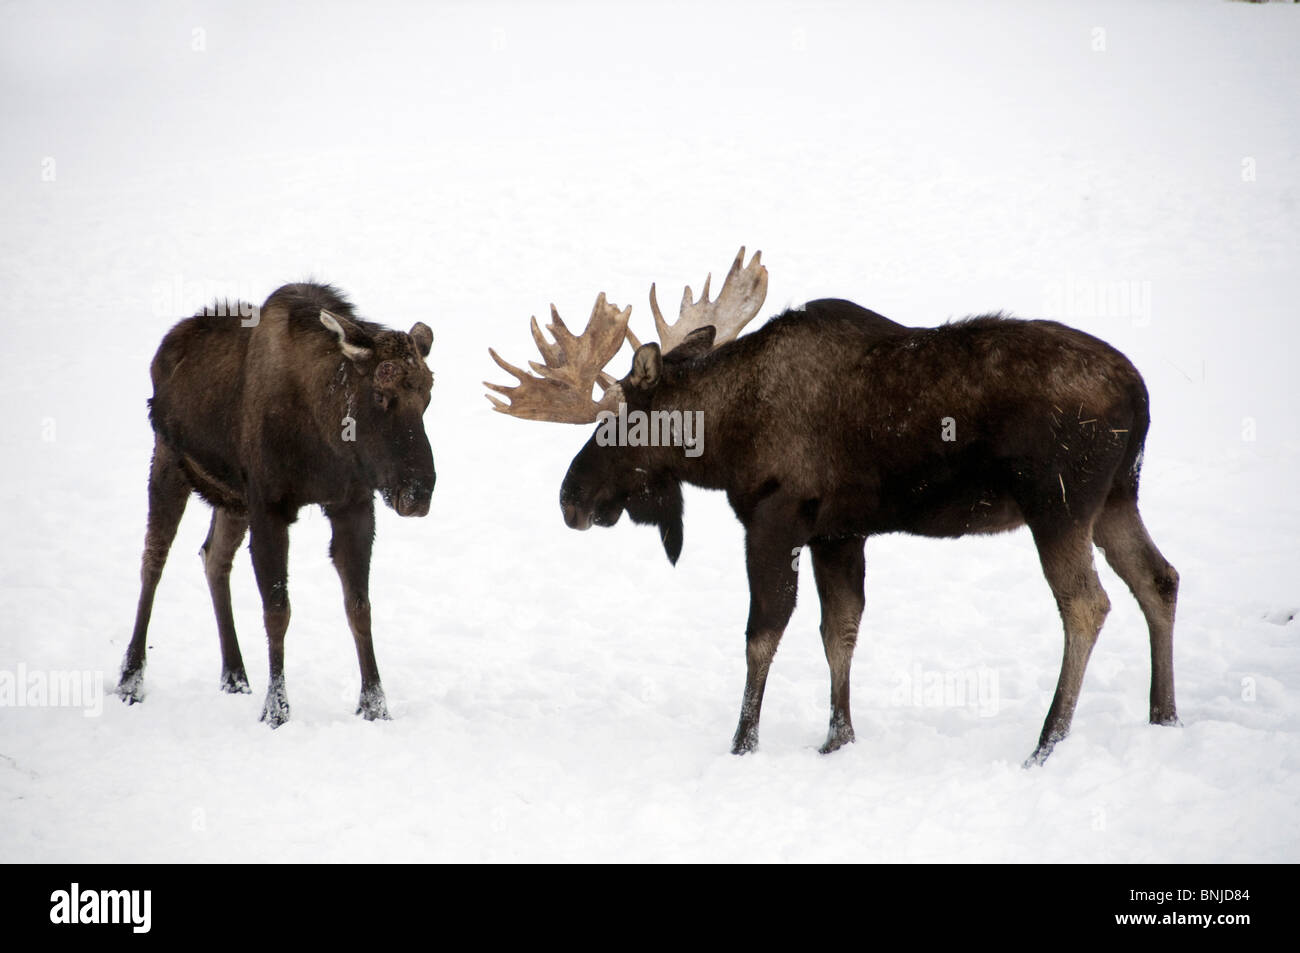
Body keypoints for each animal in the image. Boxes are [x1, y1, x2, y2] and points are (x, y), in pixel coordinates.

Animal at [486, 247, 1180, 764]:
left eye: (616, 424)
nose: (570, 498)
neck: (726, 438)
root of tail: (1143, 395)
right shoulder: (838, 533)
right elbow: (839, 630)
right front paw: (837, 737)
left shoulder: (774, 520)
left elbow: (762, 633)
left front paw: (743, 744)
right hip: (1117, 497)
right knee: (1160, 579)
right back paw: (1163, 715)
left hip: (1058, 504)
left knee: (1087, 605)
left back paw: (1047, 744)